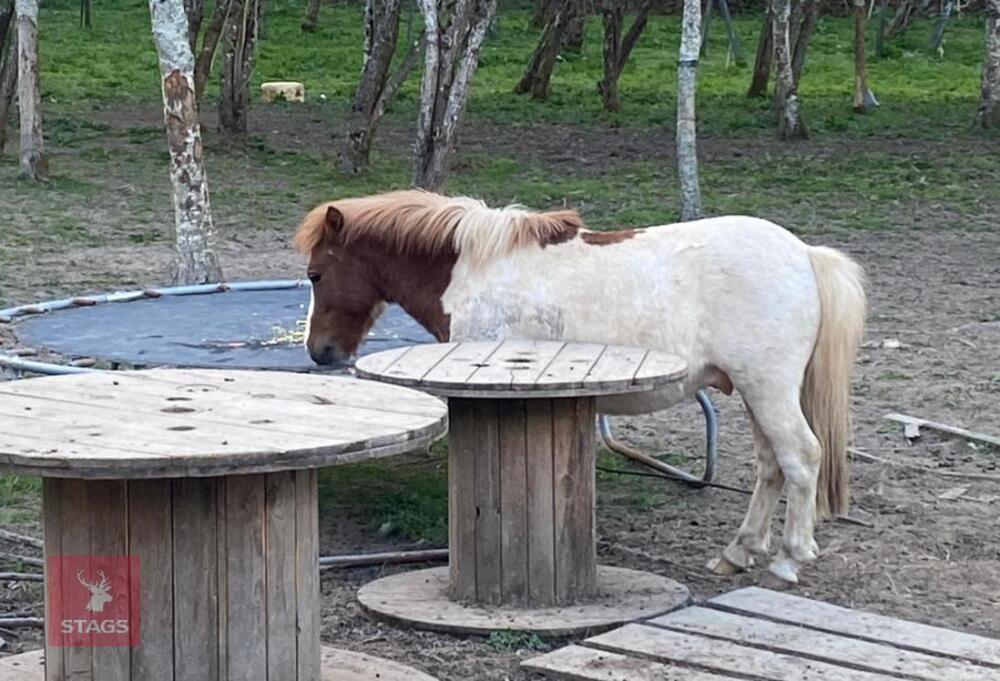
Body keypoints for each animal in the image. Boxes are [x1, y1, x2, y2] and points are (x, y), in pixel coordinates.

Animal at [294, 189, 867, 583]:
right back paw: (738, 552)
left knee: (801, 459)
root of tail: (804, 254)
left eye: (317, 274)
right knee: (772, 467)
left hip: (768, 390)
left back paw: (790, 558)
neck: (472, 270)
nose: (320, 351)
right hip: (757, 394)